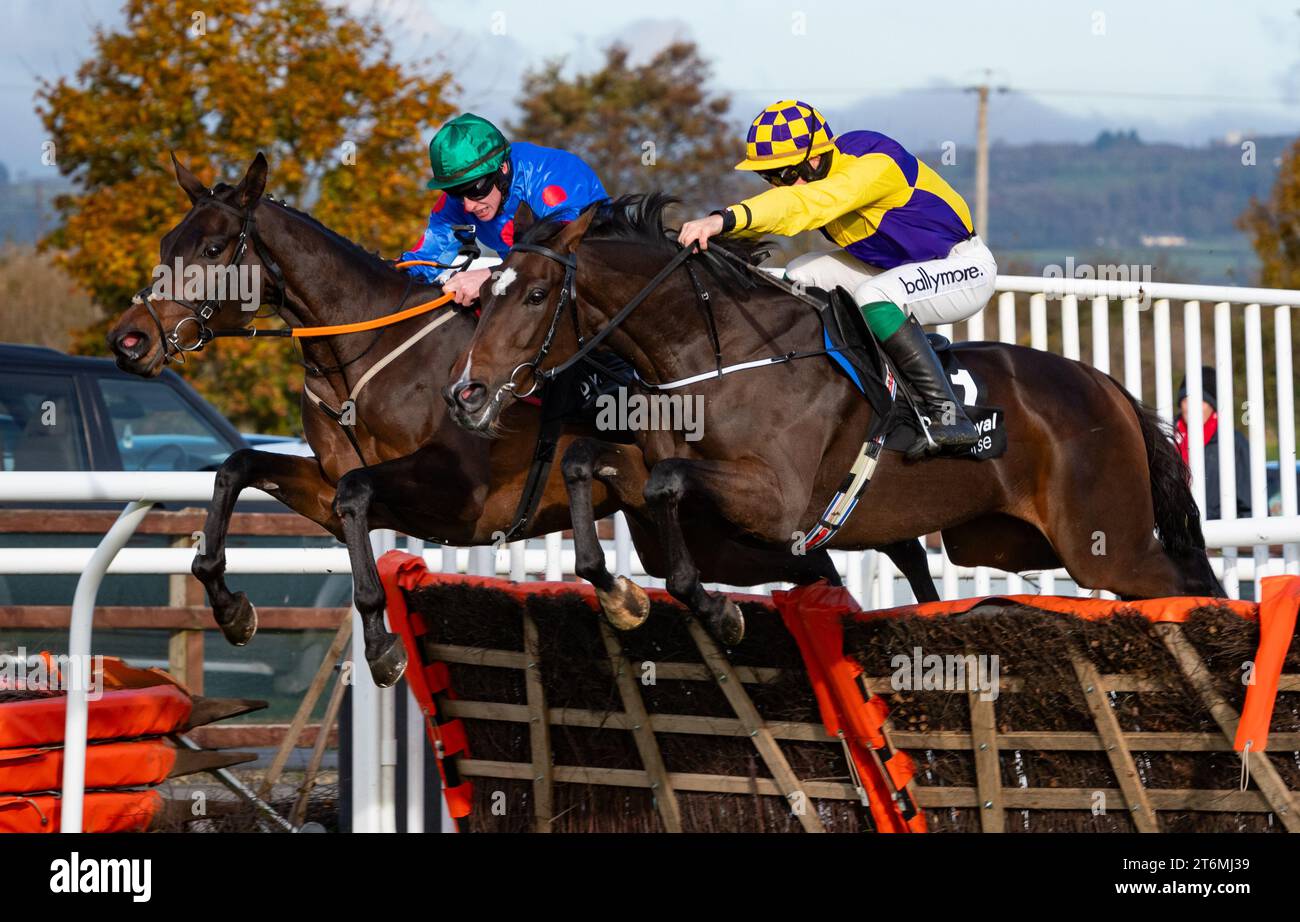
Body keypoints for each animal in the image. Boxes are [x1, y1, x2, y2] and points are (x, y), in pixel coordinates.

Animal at [104, 156, 935, 681]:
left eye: (216, 246)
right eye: (167, 241)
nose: (129, 340)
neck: (361, 357)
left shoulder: (455, 499)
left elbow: (357, 500)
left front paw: (381, 646)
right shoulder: (329, 482)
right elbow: (240, 467)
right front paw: (229, 604)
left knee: (829, 565)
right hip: (702, 530)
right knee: (813, 567)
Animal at [444, 192, 1216, 639]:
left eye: (536, 294)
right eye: (488, 292)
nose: (468, 394)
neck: (714, 355)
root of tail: (1107, 386)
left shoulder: (777, 503)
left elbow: (668, 489)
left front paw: (717, 610)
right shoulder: (658, 467)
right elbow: (587, 464)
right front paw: (620, 596)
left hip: (1105, 543)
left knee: (1182, 586)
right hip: (1006, 542)